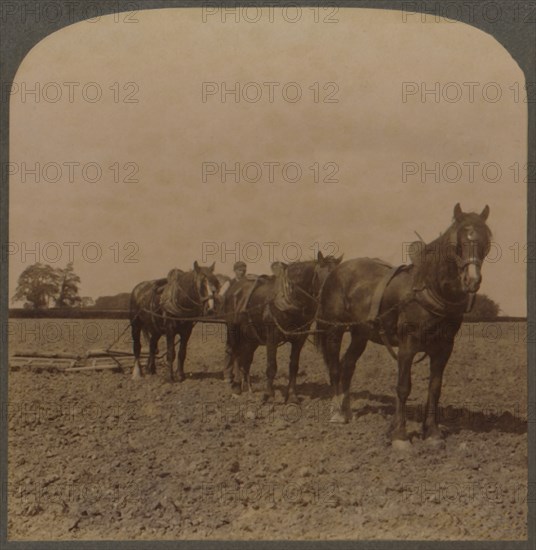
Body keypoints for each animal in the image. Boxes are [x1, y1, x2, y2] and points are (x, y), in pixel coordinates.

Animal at [223, 252, 342, 404]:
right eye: (322, 275)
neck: (289, 299)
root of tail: (234, 289)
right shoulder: (271, 337)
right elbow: (271, 366)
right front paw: (269, 395)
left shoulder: (299, 339)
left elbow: (293, 367)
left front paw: (292, 396)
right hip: (233, 331)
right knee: (235, 354)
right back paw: (237, 387)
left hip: (251, 337)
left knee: (246, 359)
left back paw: (248, 387)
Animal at [316, 205, 492, 450]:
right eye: (457, 244)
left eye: (486, 242)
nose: (472, 281)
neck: (429, 288)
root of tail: (336, 271)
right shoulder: (407, 346)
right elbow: (403, 387)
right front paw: (400, 435)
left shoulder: (444, 348)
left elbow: (435, 388)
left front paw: (433, 433)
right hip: (334, 329)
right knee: (334, 366)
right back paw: (337, 413)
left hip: (361, 334)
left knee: (348, 365)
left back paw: (347, 410)